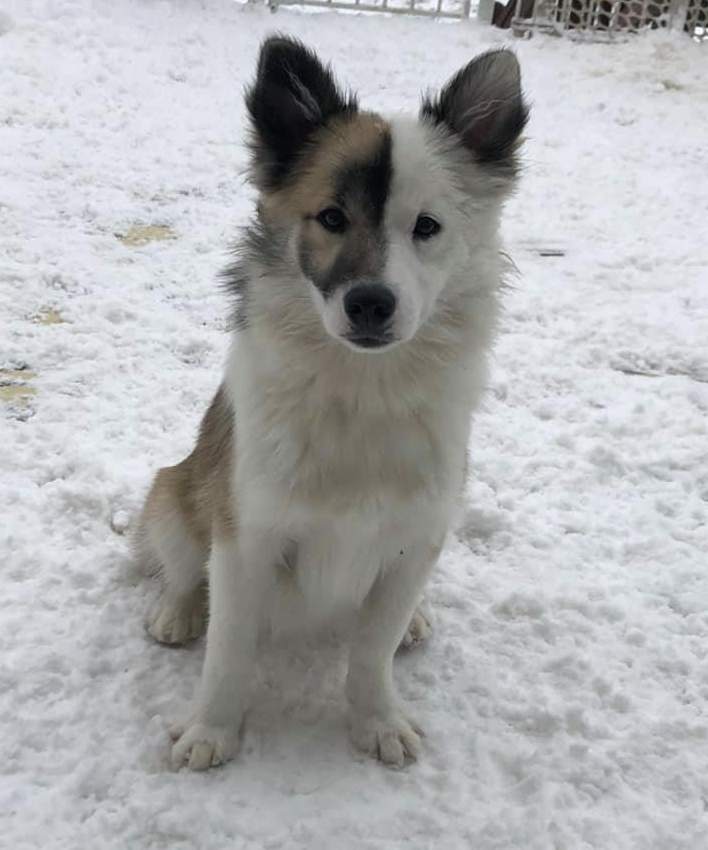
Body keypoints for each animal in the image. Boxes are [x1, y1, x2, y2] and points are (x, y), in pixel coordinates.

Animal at [136, 34, 528, 768]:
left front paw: (377, 720)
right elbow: (228, 652)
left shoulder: (415, 538)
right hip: (173, 489)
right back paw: (177, 611)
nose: (371, 302)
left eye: (426, 227)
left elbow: (371, 652)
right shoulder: (246, 533)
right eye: (331, 218)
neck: (361, 391)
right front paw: (211, 729)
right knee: (180, 567)